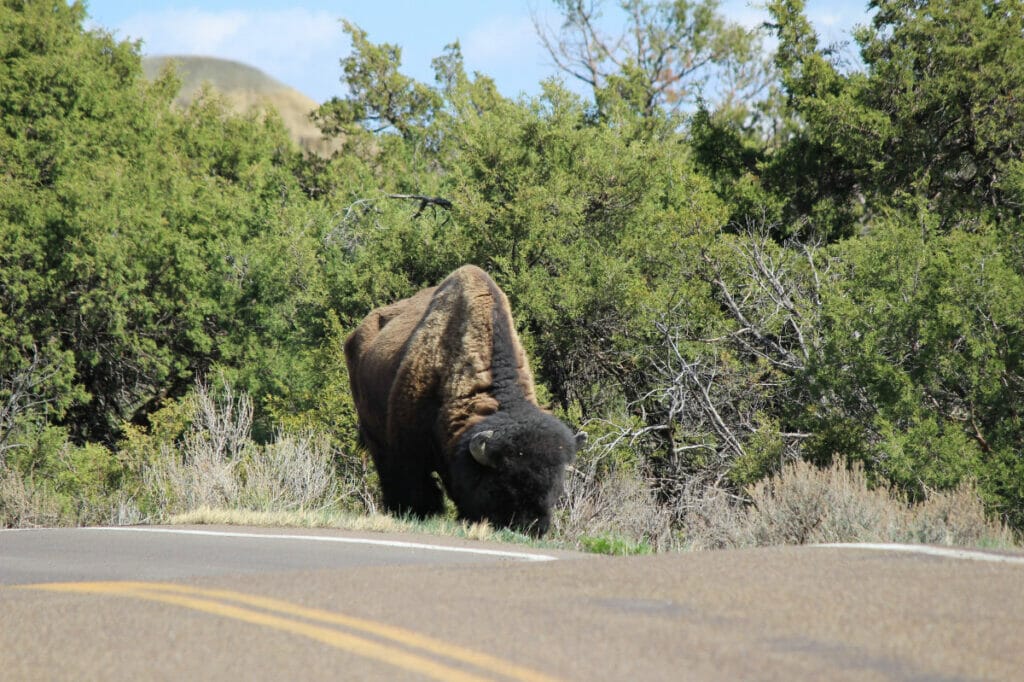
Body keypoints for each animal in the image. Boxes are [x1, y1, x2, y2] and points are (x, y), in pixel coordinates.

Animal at [344, 262, 585, 532]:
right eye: (502, 484)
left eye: (556, 486)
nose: (532, 528)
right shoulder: (406, 447)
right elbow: (414, 481)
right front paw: (420, 511)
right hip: (373, 434)